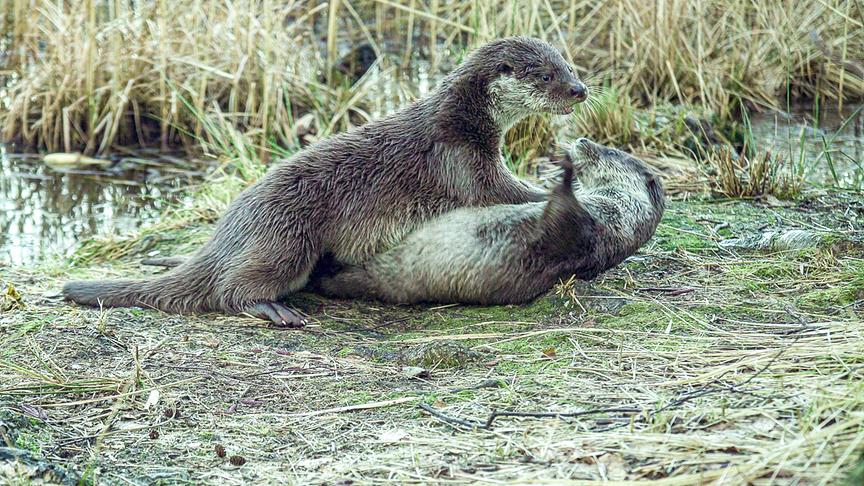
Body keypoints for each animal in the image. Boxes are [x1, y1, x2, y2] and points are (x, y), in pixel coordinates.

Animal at [63, 37, 588, 327]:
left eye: (568, 64)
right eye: (546, 75)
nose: (580, 90)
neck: (463, 121)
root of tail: (234, 224)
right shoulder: (459, 159)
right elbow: (504, 192)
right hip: (287, 239)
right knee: (228, 289)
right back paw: (272, 310)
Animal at [309, 139, 665, 304]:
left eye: (610, 152)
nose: (582, 141)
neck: (613, 213)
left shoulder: (585, 231)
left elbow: (559, 222)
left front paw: (563, 176)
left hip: (385, 277)